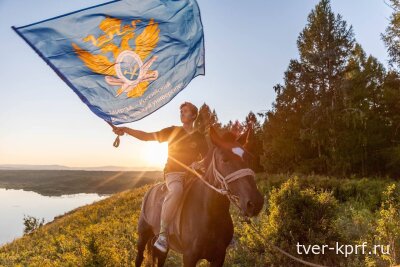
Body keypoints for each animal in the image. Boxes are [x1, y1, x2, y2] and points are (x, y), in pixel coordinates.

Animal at [135, 126, 266, 266]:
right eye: (224, 159)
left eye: (249, 157)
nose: (255, 203)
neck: (210, 213)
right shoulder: (189, 257)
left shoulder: (219, 256)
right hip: (142, 237)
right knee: (139, 258)